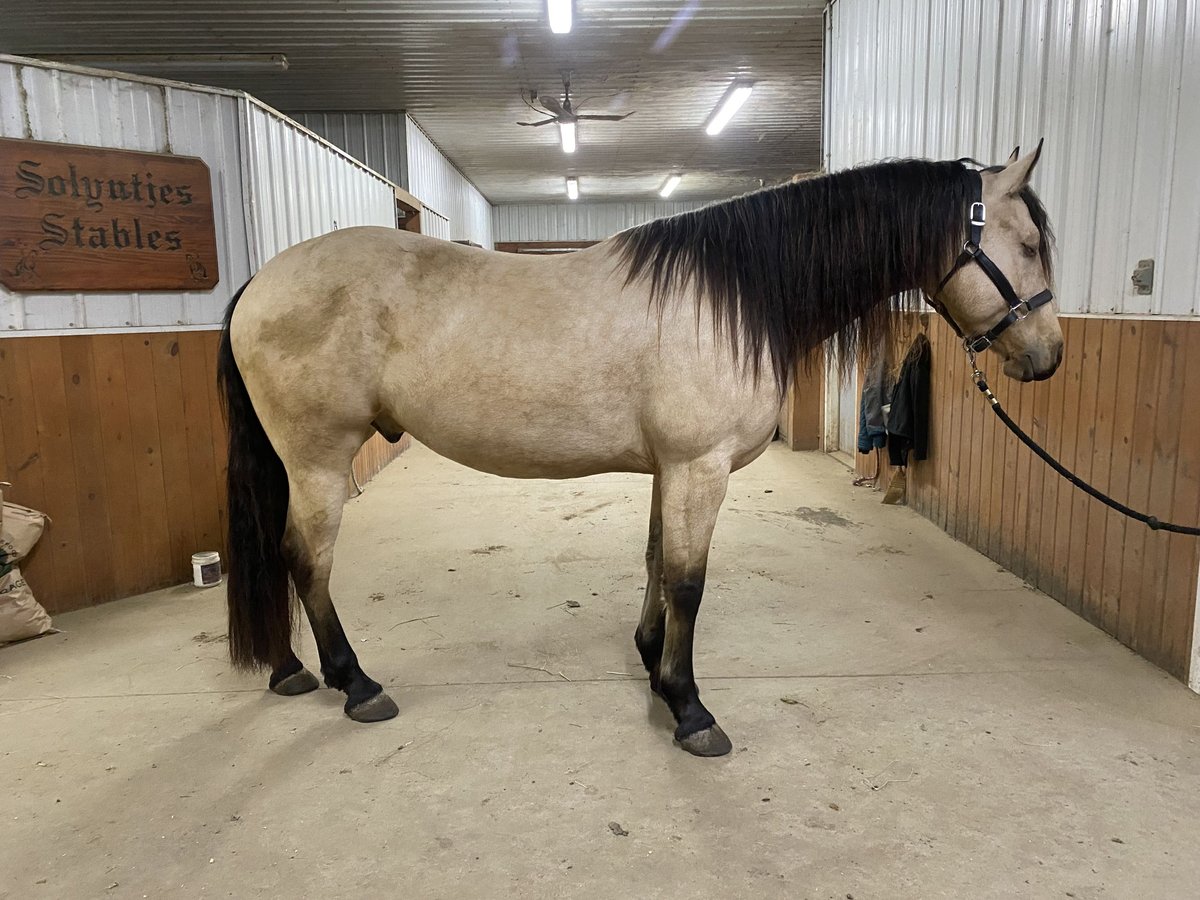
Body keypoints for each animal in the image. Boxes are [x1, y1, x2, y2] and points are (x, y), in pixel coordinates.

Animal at [216, 146, 1060, 753]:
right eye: (1026, 243)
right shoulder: (699, 468)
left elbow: (656, 559)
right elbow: (689, 580)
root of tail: (260, 280)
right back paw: (355, 684)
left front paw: (652, 661)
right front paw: (689, 707)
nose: (1048, 357)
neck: (735, 298)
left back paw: (290, 669)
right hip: (318, 462)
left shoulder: (671, 470)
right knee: (305, 558)